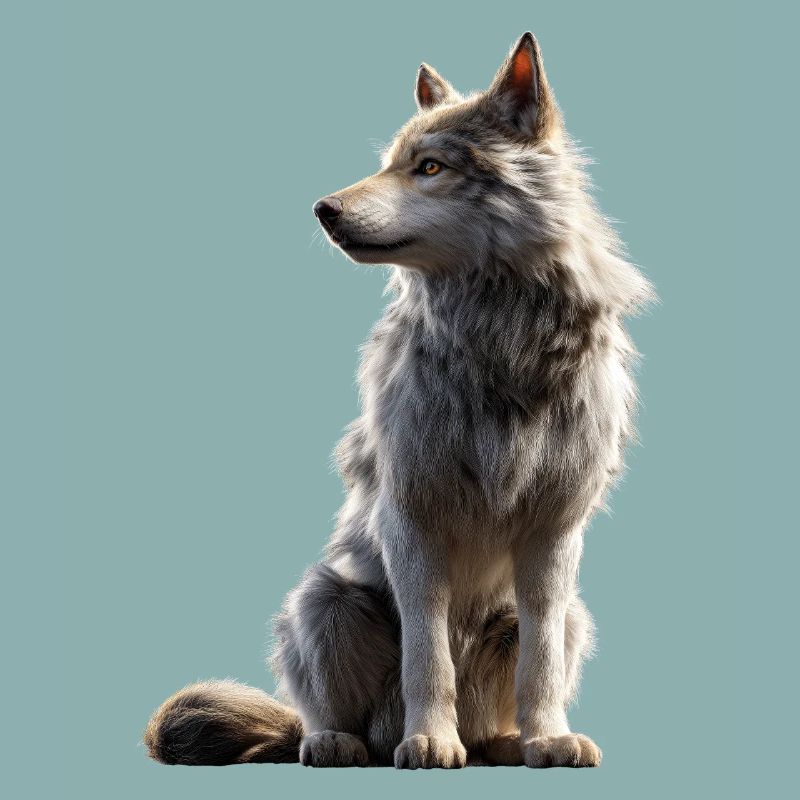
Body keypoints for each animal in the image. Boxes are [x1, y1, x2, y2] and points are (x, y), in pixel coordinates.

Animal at [144, 32, 653, 769]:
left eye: (430, 167)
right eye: (389, 164)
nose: (323, 210)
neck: (499, 342)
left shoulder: (555, 533)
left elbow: (542, 664)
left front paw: (549, 739)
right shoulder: (410, 520)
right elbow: (427, 654)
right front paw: (431, 740)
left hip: (573, 615)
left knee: (518, 684)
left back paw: (503, 743)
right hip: (324, 600)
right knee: (326, 716)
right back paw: (342, 742)